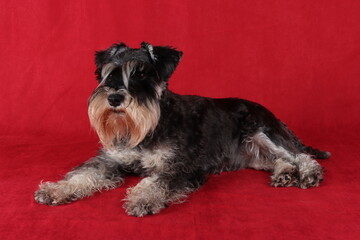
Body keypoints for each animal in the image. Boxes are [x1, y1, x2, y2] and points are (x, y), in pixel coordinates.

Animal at [35, 42, 330, 217]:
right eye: (108, 73)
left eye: (142, 74)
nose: (115, 98)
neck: (150, 128)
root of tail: (271, 112)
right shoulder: (110, 159)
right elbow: (83, 174)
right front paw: (55, 190)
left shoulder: (182, 166)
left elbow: (158, 181)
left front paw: (142, 198)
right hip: (255, 154)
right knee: (280, 160)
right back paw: (284, 175)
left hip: (261, 132)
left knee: (300, 155)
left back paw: (308, 174)